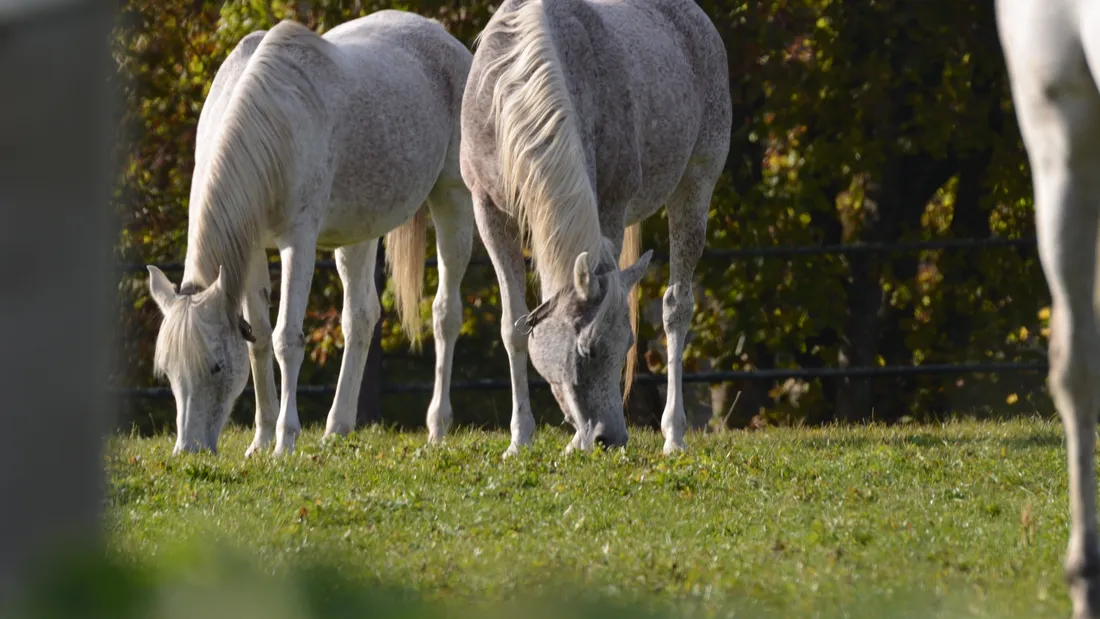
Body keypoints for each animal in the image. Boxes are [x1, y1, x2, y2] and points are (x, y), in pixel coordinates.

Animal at [145, 11, 475, 457]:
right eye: (168, 372)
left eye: (215, 366)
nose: (188, 450)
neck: (272, 124)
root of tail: (443, 37)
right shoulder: (250, 250)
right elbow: (259, 340)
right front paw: (262, 438)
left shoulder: (297, 243)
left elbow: (286, 337)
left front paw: (285, 440)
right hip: (359, 232)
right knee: (360, 317)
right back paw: (338, 427)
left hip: (452, 200)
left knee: (444, 314)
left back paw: (437, 427)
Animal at [460, 0, 731, 457]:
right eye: (585, 351)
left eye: (626, 345)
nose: (610, 438)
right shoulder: (487, 209)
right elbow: (514, 326)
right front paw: (519, 439)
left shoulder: (610, 207)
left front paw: (572, 440)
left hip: (696, 184)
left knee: (676, 307)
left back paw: (674, 435)